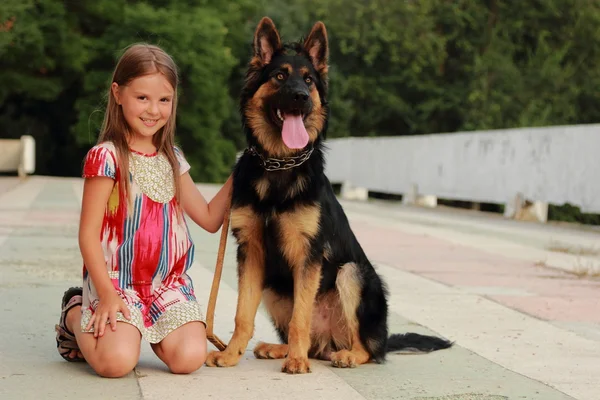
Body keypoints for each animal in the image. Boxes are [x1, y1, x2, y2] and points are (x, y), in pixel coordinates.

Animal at [204, 17, 452, 374]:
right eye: (280, 76)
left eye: (308, 80)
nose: (301, 96)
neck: (279, 164)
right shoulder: (251, 252)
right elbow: (242, 314)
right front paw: (231, 354)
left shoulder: (308, 255)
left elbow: (300, 318)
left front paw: (296, 361)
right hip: (274, 286)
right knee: (313, 340)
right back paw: (280, 349)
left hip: (352, 274)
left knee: (367, 349)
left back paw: (341, 354)